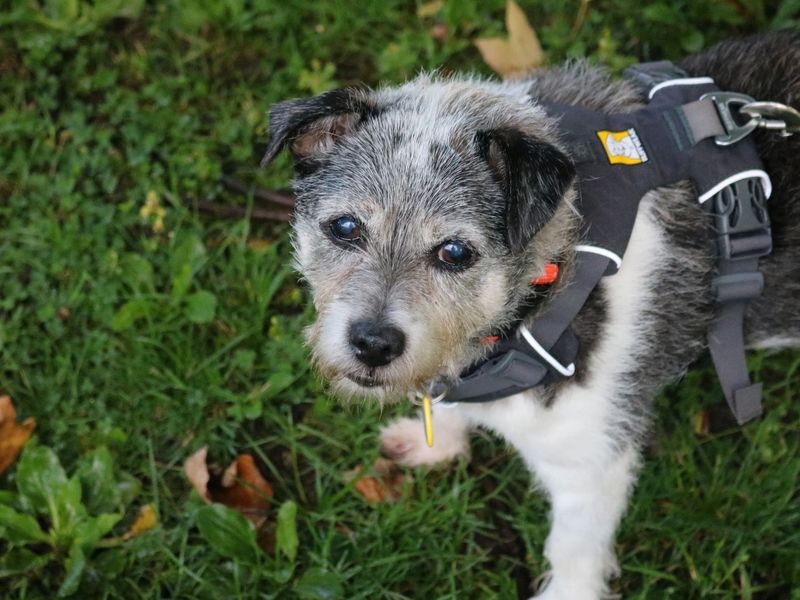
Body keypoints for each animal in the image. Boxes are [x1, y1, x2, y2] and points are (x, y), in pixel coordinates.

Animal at [260, 32, 800, 600]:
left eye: (455, 252)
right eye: (345, 227)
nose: (373, 344)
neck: (555, 269)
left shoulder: (591, 468)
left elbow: (572, 556)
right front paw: (437, 443)